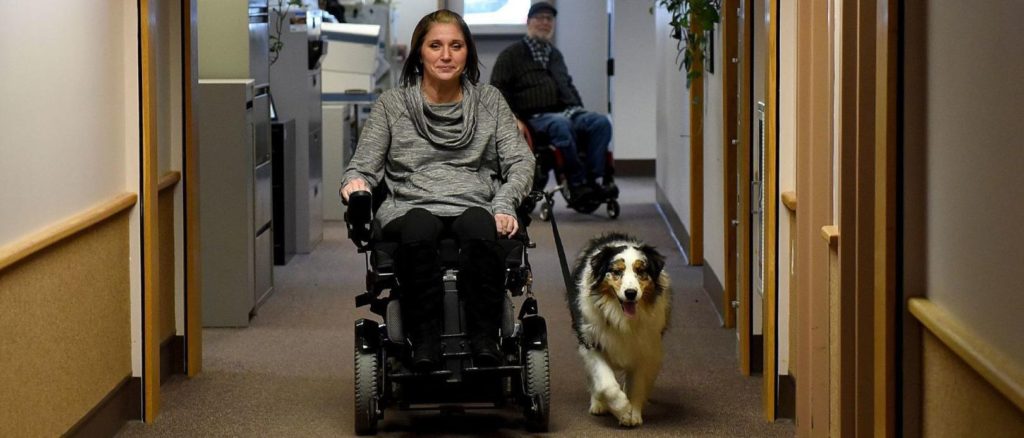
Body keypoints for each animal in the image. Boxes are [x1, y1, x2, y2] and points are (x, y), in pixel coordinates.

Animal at [569, 232, 671, 427]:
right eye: (617, 271)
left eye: (641, 271)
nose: (631, 293)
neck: (622, 318)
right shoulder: (591, 342)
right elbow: (606, 384)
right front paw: (622, 409)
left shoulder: (645, 348)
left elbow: (636, 383)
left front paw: (634, 413)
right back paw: (598, 404)